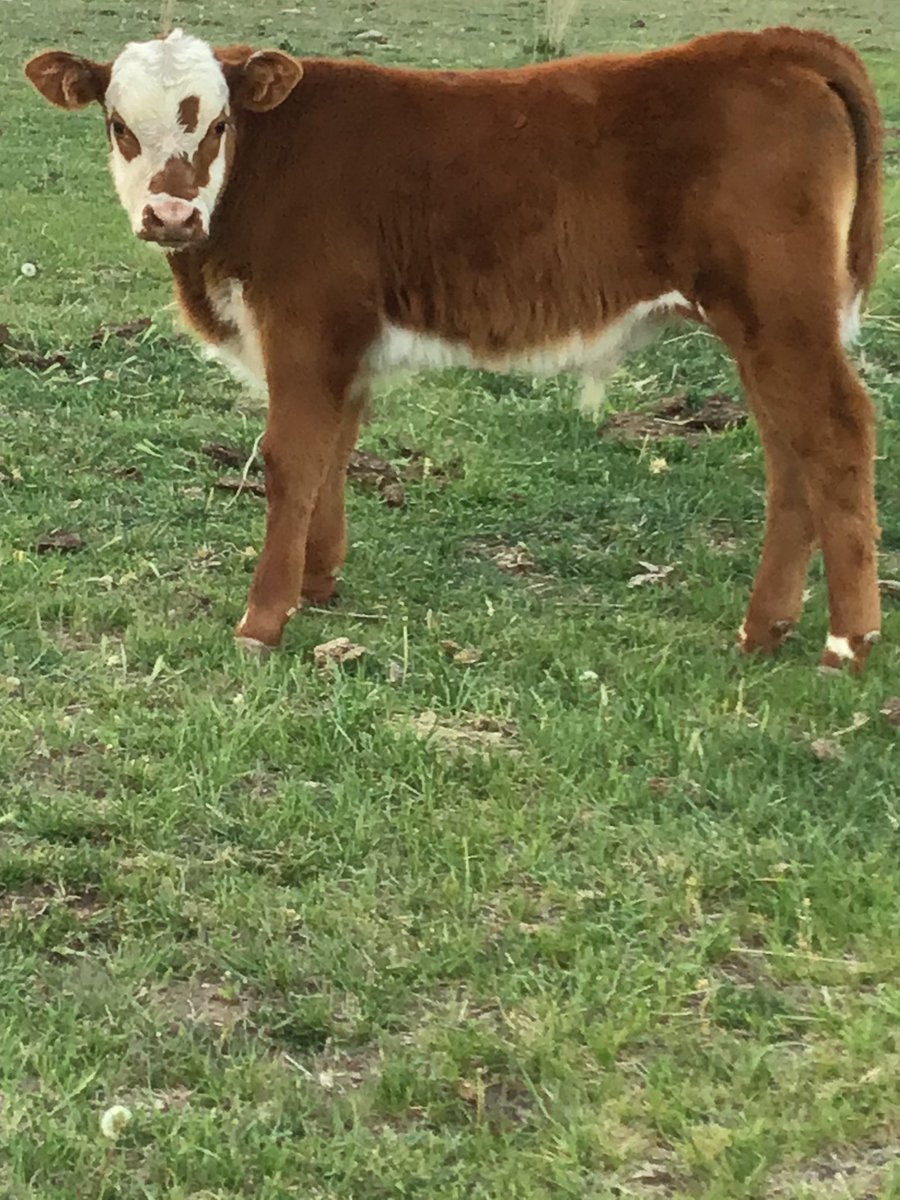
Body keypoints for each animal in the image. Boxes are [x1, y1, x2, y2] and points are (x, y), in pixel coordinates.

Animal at [25, 25, 885, 671]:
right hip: (762, 328)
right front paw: (318, 581)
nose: (170, 215)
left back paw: (847, 641)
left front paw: (264, 619)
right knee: (790, 453)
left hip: (784, 314)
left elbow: (292, 460)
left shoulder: (305, 326)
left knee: (836, 433)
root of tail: (772, 44)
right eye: (119, 125)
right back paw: (764, 629)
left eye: (217, 124)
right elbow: (335, 449)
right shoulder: (343, 341)